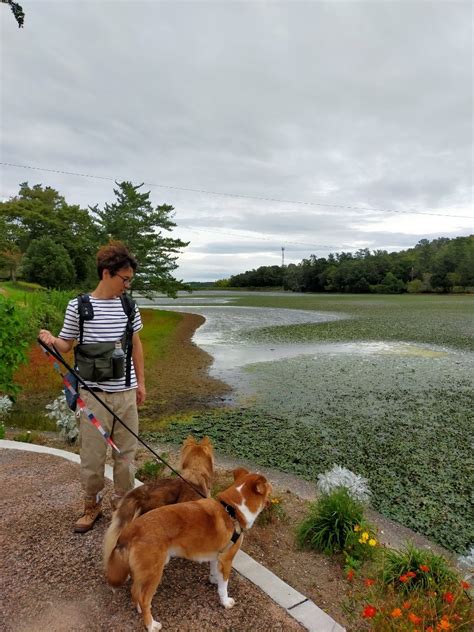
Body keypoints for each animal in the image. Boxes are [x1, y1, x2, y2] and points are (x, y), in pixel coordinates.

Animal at [105, 466, 272, 628]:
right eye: (269, 487)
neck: (232, 510)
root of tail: (131, 530)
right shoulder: (227, 560)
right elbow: (224, 586)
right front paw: (225, 601)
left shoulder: (216, 555)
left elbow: (214, 572)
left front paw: (214, 579)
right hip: (154, 573)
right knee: (143, 598)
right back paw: (151, 624)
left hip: (145, 572)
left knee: (135, 591)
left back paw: (139, 608)